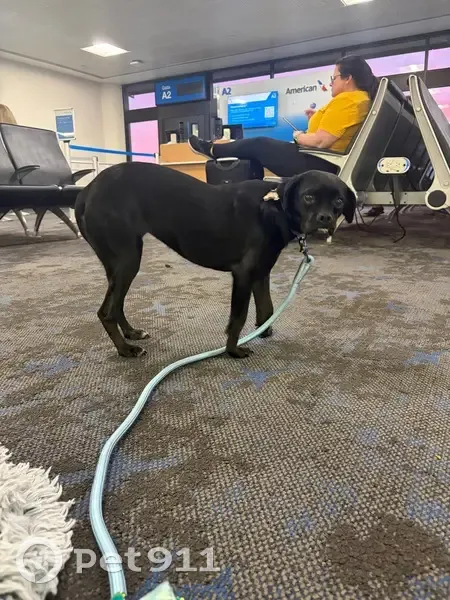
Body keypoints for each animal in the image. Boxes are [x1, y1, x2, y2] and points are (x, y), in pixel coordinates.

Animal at [75, 163, 355, 358]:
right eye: (309, 197)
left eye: (339, 200)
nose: (325, 219)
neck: (272, 208)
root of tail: (88, 190)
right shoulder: (243, 273)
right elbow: (238, 317)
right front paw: (234, 350)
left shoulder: (261, 272)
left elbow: (266, 309)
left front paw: (263, 331)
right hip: (128, 260)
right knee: (106, 312)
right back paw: (125, 349)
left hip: (118, 264)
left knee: (116, 304)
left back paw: (131, 333)